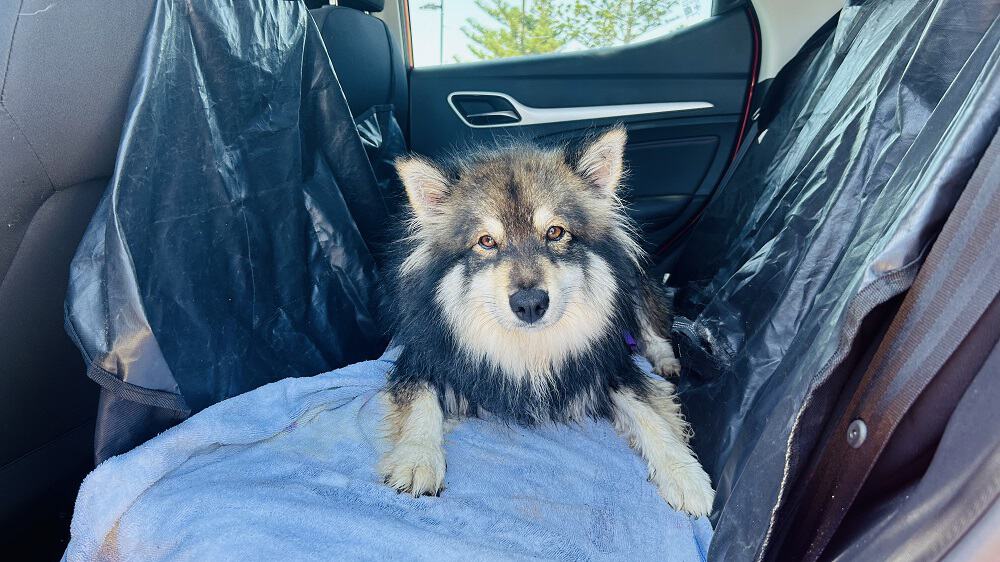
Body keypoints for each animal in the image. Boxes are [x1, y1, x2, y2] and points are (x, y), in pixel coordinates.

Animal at [378, 124, 716, 516]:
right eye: (486, 241)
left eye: (555, 232)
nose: (530, 304)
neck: (531, 350)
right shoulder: (420, 361)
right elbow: (421, 401)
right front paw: (416, 458)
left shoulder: (613, 368)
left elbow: (651, 415)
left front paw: (685, 474)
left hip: (634, 283)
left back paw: (666, 361)